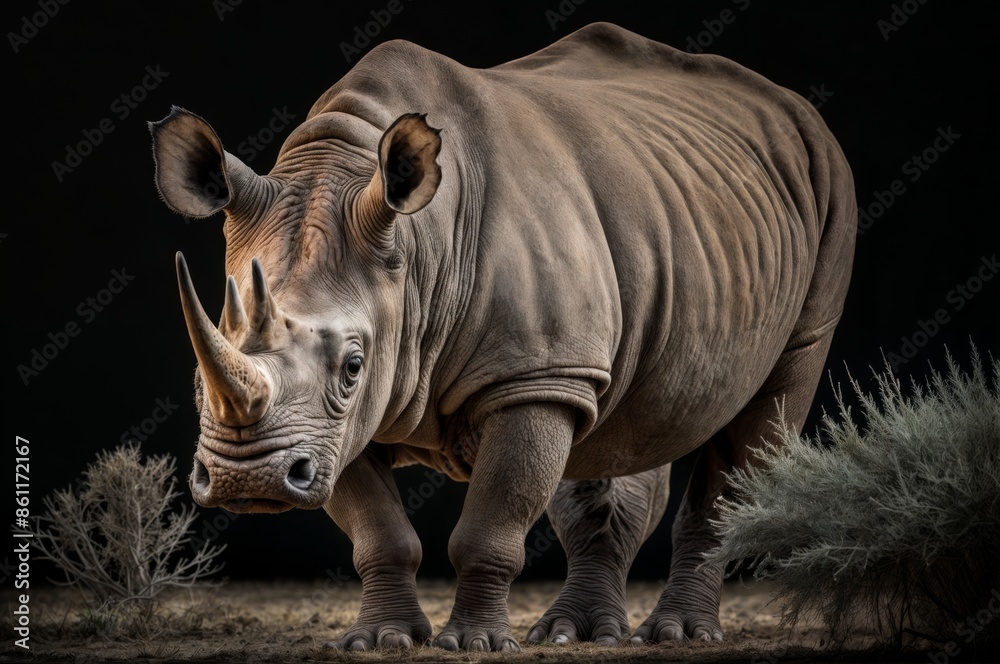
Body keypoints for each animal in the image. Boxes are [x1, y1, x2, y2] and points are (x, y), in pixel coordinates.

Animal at [150, 22, 855, 651]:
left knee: (765, 411)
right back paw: (580, 635)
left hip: (828, 192)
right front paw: (381, 640)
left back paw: (677, 635)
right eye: (199, 365)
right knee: (621, 425)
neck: (416, 246)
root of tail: (793, 108)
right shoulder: (339, 425)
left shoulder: (529, 378)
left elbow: (490, 523)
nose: (246, 481)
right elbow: (380, 532)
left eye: (351, 366)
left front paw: (475, 643)